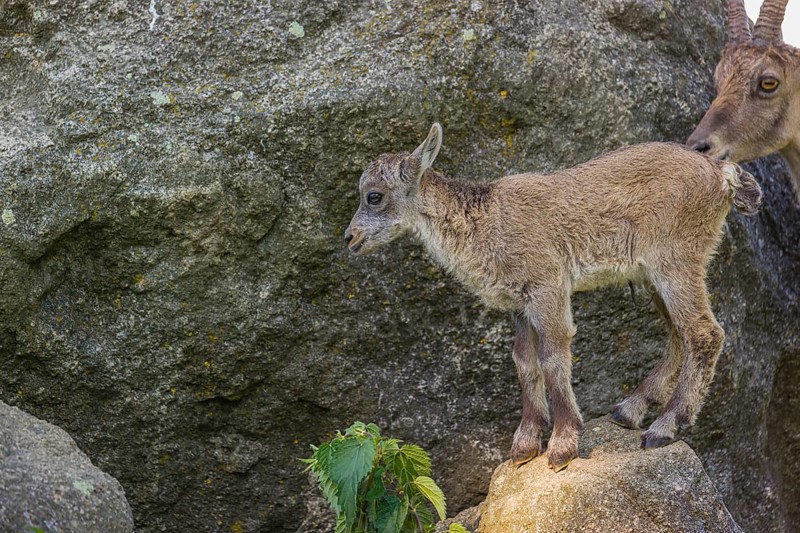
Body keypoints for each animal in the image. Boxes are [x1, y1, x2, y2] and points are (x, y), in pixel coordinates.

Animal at [345, 124, 762, 471]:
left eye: (374, 196)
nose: (350, 238)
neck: (487, 222)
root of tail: (721, 174)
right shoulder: (520, 303)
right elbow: (524, 362)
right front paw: (525, 445)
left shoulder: (549, 286)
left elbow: (552, 355)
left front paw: (562, 446)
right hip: (652, 276)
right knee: (678, 333)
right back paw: (628, 411)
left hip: (677, 259)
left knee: (704, 333)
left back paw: (664, 427)